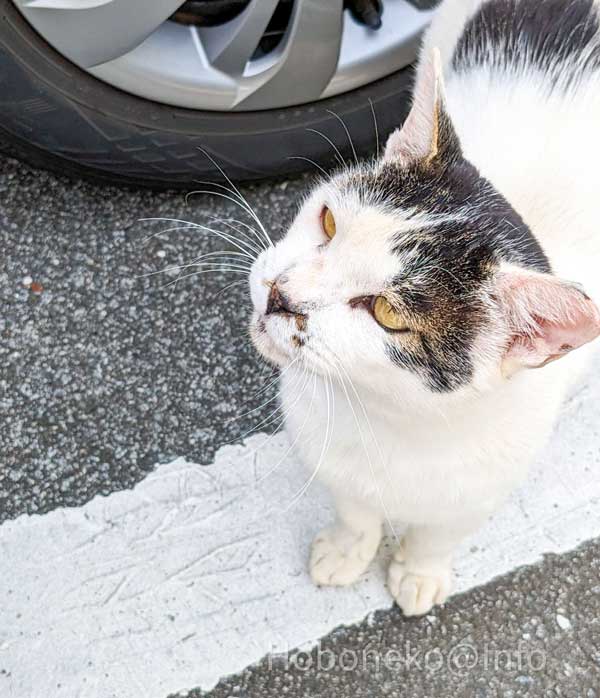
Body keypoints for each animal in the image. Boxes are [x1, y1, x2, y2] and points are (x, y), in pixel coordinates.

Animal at [247, 1, 600, 616]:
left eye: (387, 314)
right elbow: (355, 512)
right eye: (329, 222)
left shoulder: (480, 491)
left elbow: (440, 534)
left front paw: (420, 572)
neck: (391, 421)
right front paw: (346, 551)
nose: (280, 294)